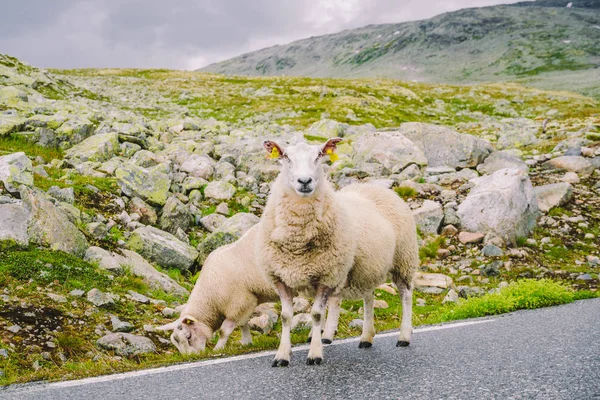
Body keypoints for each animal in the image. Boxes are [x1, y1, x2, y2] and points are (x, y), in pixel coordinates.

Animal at [154, 223, 278, 354]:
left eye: (188, 337)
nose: (192, 356)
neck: (211, 298)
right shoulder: (245, 304)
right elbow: (243, 324)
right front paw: (246, 342)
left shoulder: (239, 302)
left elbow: (224, 331)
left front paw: (217, 349)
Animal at [260, 139, 420, 368]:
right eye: (286, 157)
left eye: (319, 155)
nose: (305, 181)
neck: (298, 242)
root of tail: (374, 186)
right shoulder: (280, 278)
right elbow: (285, 317)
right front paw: (282, 355)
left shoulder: (326, 276)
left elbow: (317, 314)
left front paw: (315, 354)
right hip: (366, 267)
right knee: (369, 298)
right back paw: (366, 337)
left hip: (403, 259)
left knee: (405, 294)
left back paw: (404, 336)